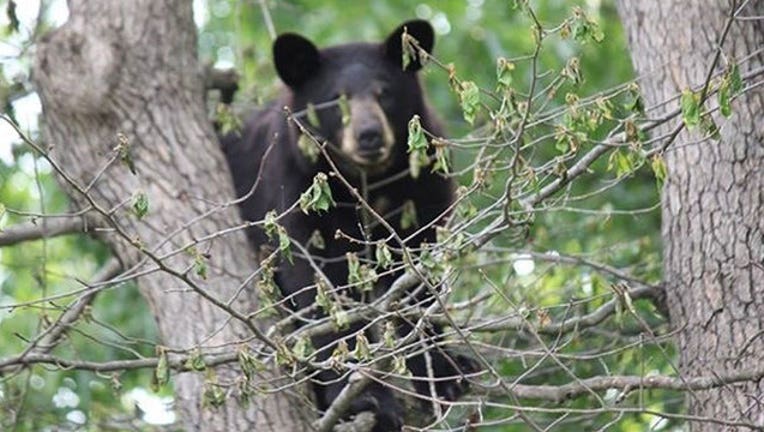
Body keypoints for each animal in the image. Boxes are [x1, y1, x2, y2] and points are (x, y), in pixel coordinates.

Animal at [218, 20, 474, 432]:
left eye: (384, 93)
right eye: (335, 99)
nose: (369, 135)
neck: (369, 185)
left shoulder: (422, 186)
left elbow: (417, 281)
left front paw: (447, 374)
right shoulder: (298, 190)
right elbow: (322, 288)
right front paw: (365, 399)